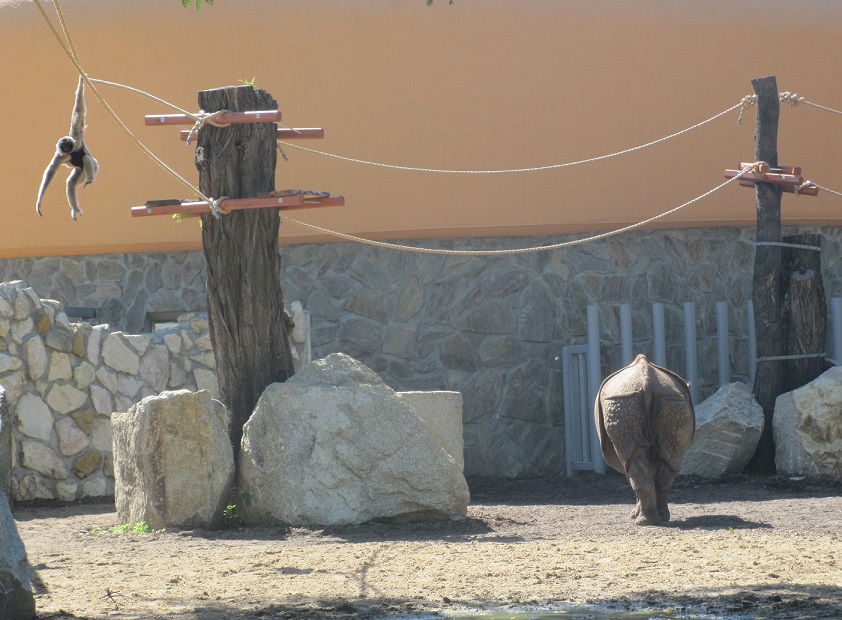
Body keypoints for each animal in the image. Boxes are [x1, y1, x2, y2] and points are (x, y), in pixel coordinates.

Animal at [595, 354, 695, 525]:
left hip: (622, 401)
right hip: (670, 401)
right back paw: (660, 519)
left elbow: (631, 474)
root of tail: (646, 382)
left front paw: (633, 515)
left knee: (633, 461)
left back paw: (644, 522)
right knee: (670, 460)